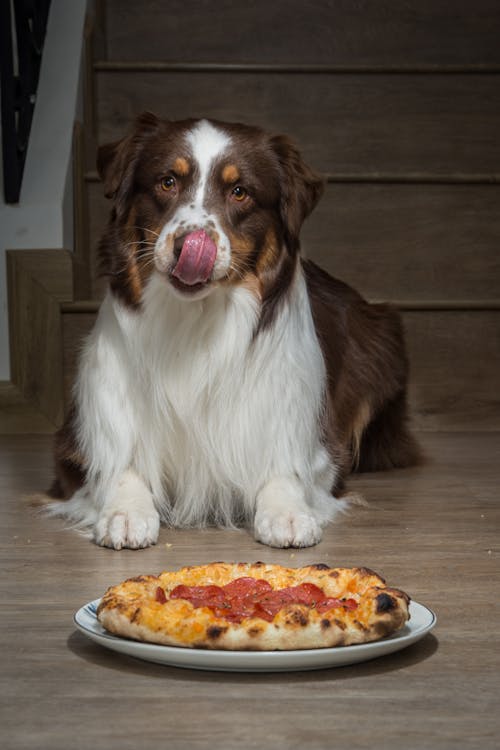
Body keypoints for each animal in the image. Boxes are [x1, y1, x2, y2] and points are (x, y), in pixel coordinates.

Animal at [49, 111, 418, 548]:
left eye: (240, 191)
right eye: (167, 182)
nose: (189, 245)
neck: (195, 322)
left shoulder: (308, 437)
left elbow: (285, 469)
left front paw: (286, 511)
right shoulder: (80, 441)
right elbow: (120, 465)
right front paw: (125, 511)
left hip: (382, 337)